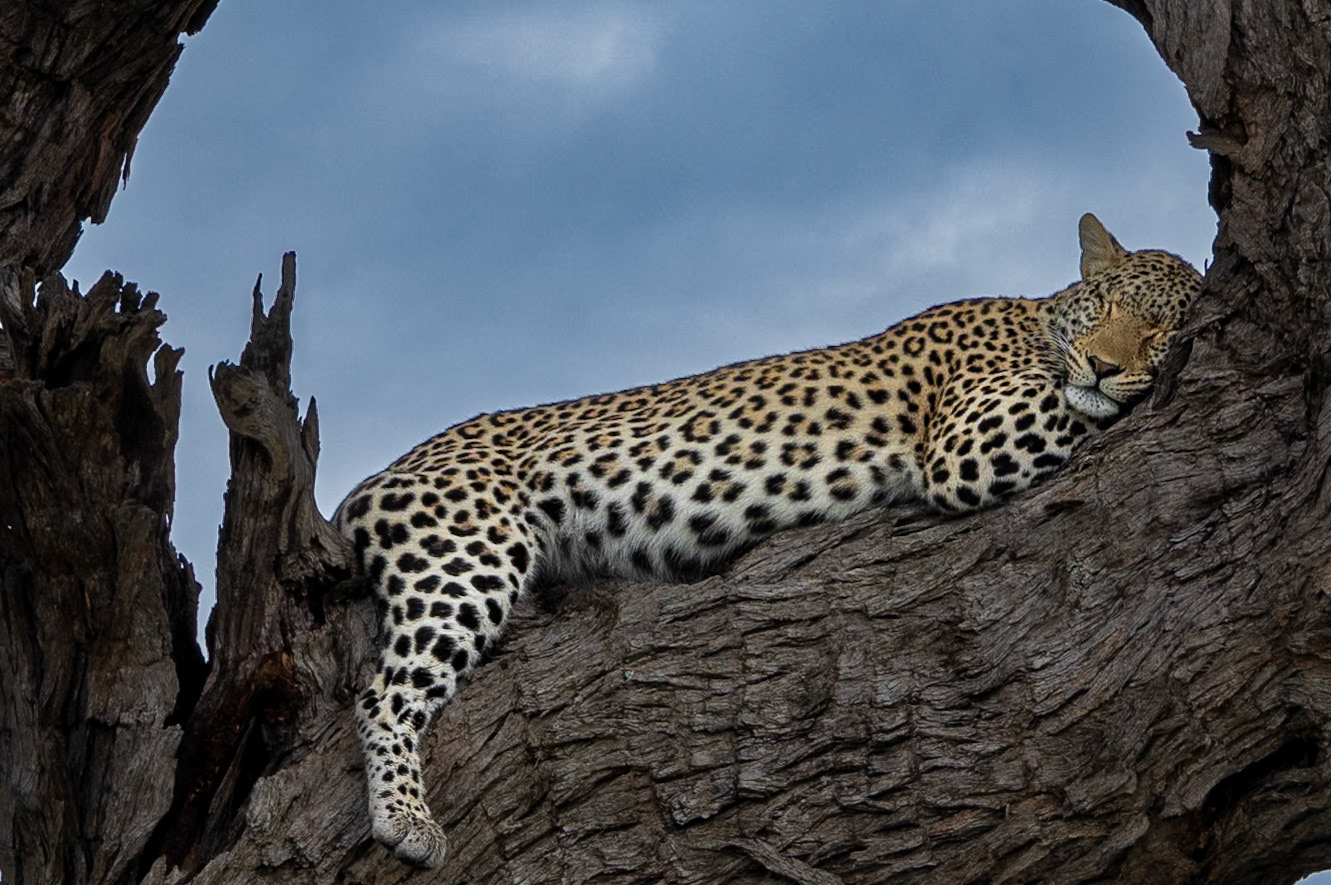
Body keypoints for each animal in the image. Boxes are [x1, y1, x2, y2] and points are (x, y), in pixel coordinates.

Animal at [334, 213, 1202, 867]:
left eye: (1159, 324)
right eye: (1107, 306)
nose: (1101, 363)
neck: (1038, 316)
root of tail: (374, 479)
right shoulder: (968, 440)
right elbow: (1077, 406)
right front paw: (1104, 387)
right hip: (465, 551)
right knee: (382, 693)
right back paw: (406, 818)